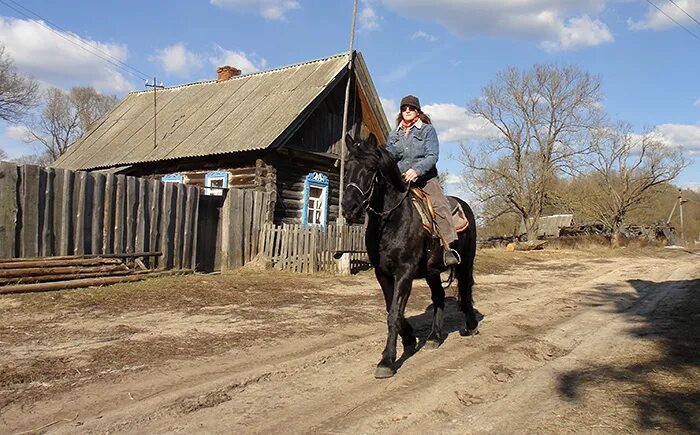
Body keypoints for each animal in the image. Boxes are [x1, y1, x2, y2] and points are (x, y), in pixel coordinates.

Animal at [340, 134, 478, 378]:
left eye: (371, 168)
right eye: (347, 167)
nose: (350, 207)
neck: (392, 221)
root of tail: (464, 205)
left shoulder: (404, 272)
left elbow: (394, 313)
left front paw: (386, 361)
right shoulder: (383, 274)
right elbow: (393, 311)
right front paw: (410, 340)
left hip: (465, 263)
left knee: (465, 289)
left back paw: (470, 326)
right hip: (432, 272)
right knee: (439, 297)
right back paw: (434, 337)